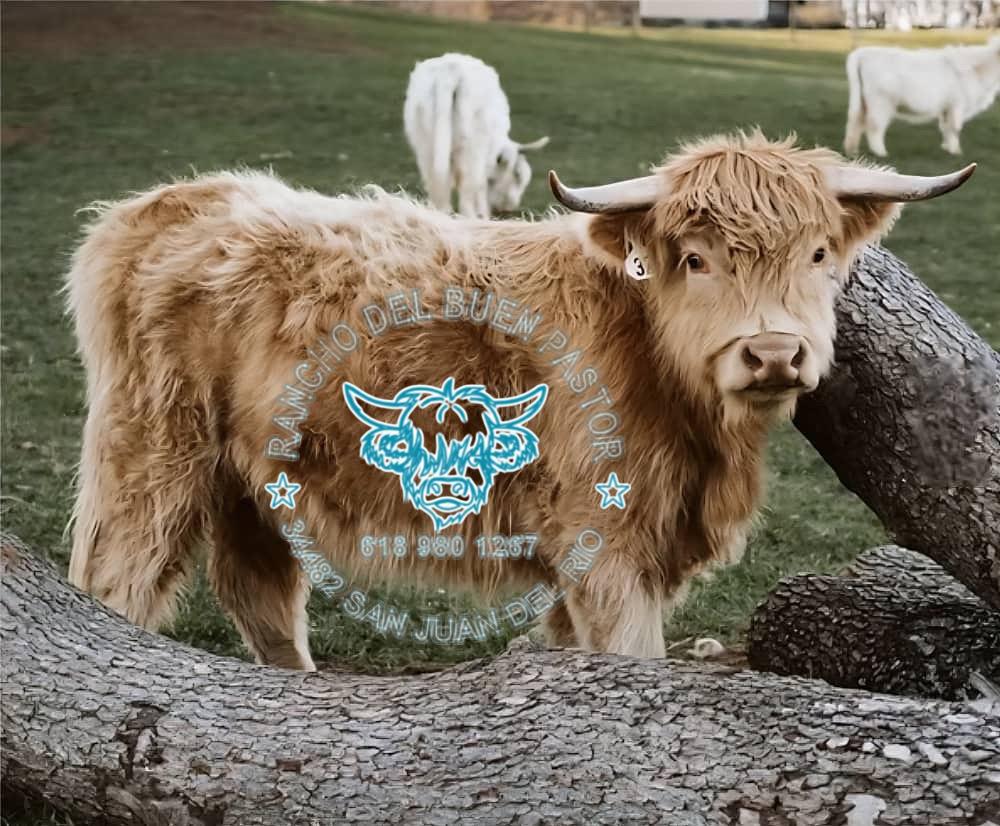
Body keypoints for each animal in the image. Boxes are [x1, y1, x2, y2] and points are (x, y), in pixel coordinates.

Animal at [66, 131, 974, 671]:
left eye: (820, 253)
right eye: (695, 258)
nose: (775, 352)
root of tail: (169, 201)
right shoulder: (605, 544)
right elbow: (631, 656)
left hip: (251, 480)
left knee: (261, 596)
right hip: (152, 454)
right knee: (119, 584)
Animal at [403, 52, 549, 219]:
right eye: (518, 177)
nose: (506, 209)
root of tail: (451, 71)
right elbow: (480, 188)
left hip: (425, 143)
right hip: (472, 148)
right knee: (466, 195)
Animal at [844, 36, 1000, 157]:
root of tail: (863, 52)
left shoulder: (946, 107)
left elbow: (945, 128)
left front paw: (946, 147)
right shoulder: (957, 105)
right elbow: (954, 128)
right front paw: (956, 151)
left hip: (865, 101)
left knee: (856, 122)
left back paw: (852, 150)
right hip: (881, 102)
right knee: (874, 126)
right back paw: (880, 152)